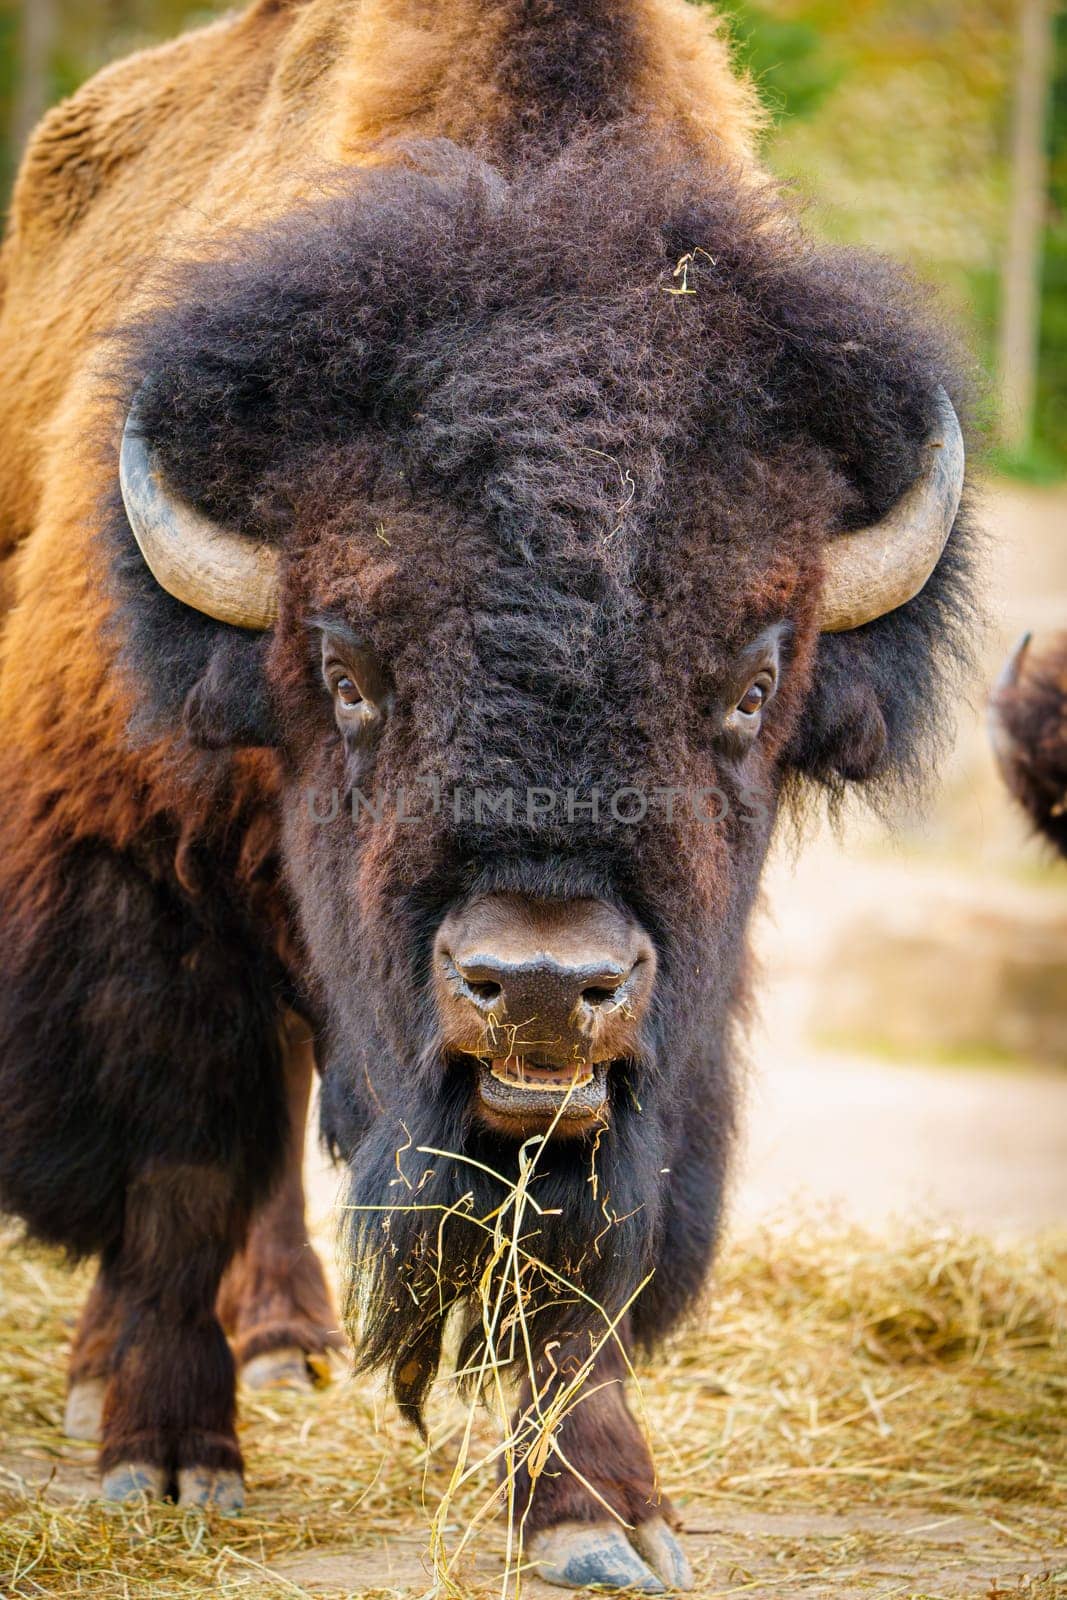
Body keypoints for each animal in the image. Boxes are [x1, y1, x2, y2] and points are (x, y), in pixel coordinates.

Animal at [0, 0, 979, 1580]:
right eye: (343, 670)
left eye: (749, 685)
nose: (534, 983)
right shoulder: (132, 874)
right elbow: (179, 1167)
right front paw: (163, 1458)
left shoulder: (662, 1041)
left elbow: (577, 1270)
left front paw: (602, 1518)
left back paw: (288, 1337)